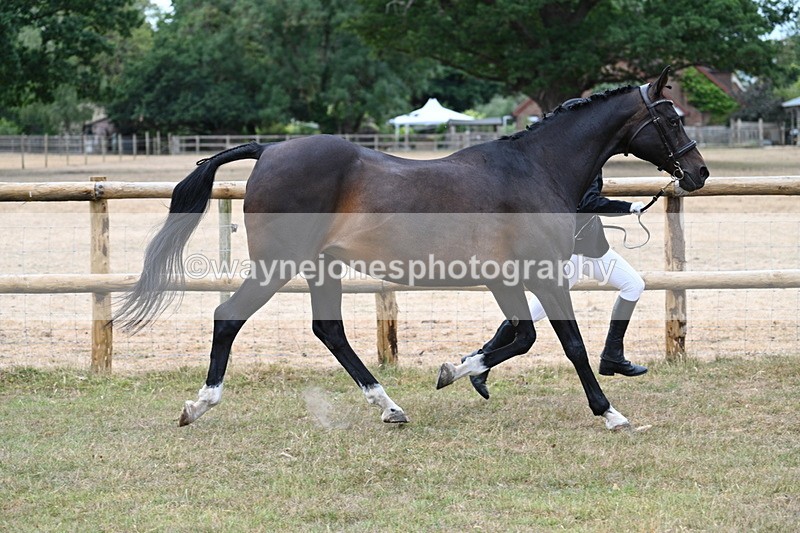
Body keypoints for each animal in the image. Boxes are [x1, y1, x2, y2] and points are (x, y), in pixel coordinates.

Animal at [115, 66, 708, 430]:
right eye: (671, 117)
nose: (698, 173)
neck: (534, 169)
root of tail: (270, 149)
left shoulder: (508, 278)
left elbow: (522, 336)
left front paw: (459, 370)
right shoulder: (538, 274)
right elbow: (567, 343)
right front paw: (610, 413)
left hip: (321, 268)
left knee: (328, 331)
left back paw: (390, 407)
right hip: (278, 266)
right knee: (229, 316)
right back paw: (199, 404)